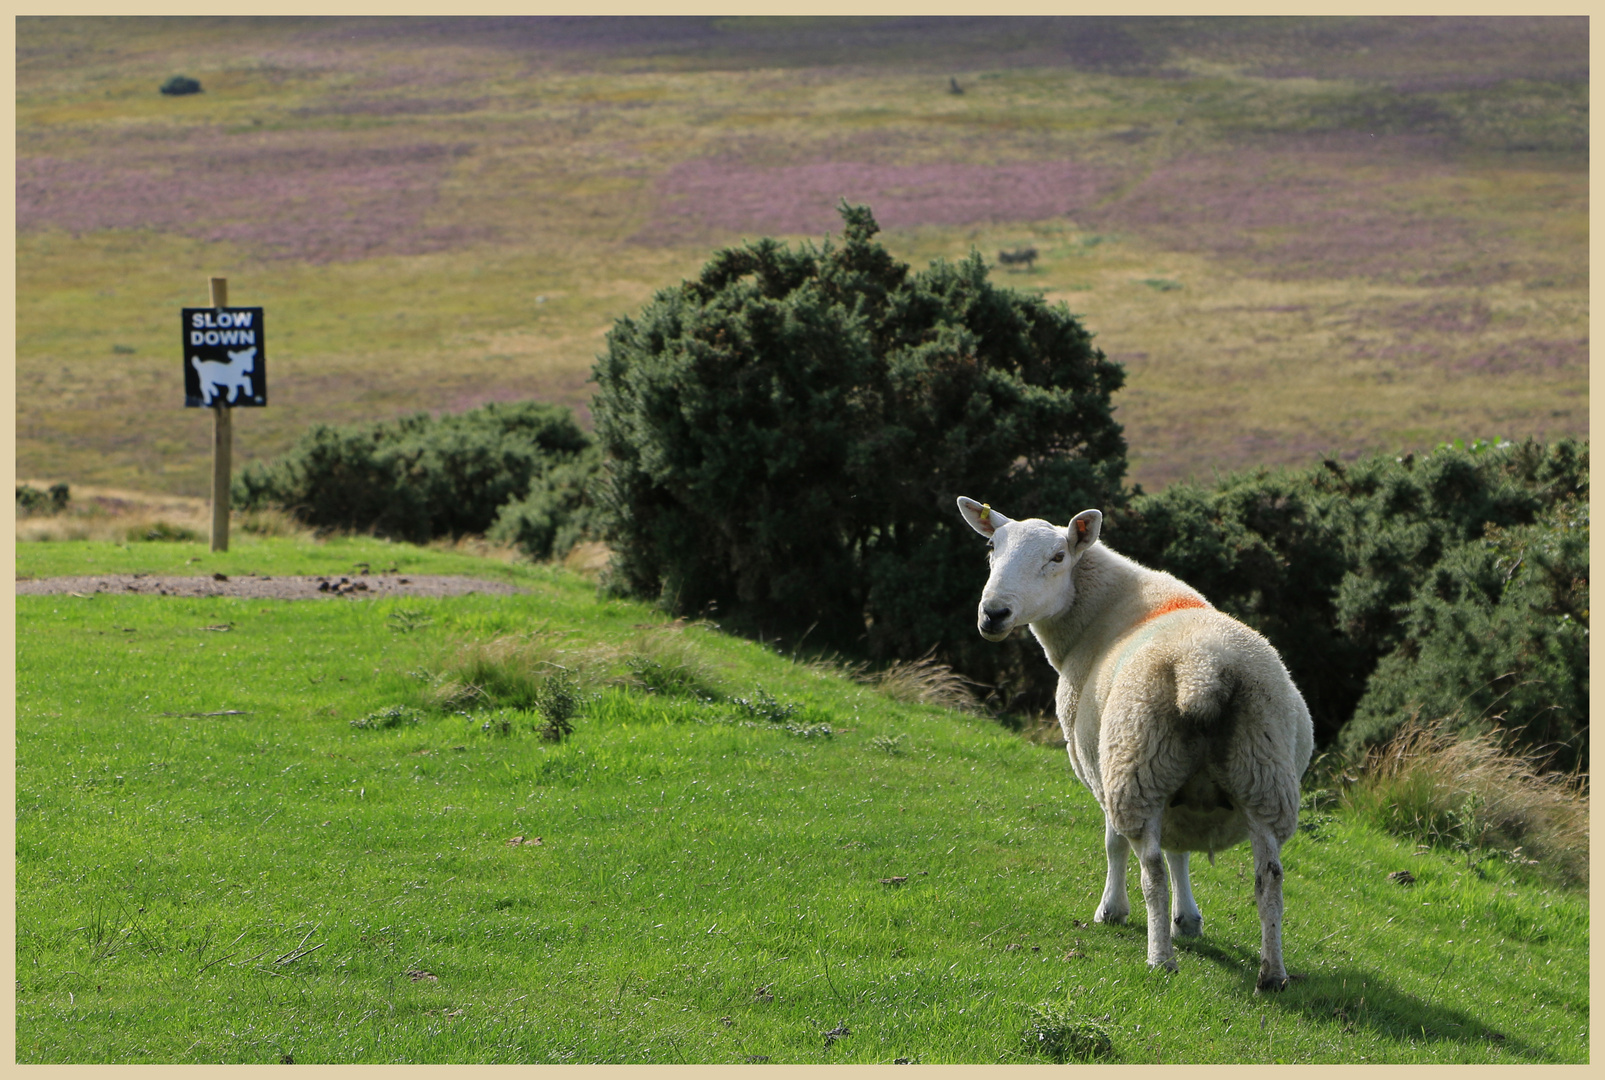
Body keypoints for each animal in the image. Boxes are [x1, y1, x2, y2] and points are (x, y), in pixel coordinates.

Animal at [956, 497, 1309, 988]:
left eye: (1058, 557)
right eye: (992, 547)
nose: (993, 614)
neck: (1097, 612)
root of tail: (1204, 669)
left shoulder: (1102, 766)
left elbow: (1115, 844)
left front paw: (1113, 911)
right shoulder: (1179, 793)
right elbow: (1181, 851)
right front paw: (1188, 921)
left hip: (1140, 763)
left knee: (1153, 871)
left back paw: (1160, 957)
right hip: (1261, 774)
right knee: (1269, 877)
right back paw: (1272, 973)